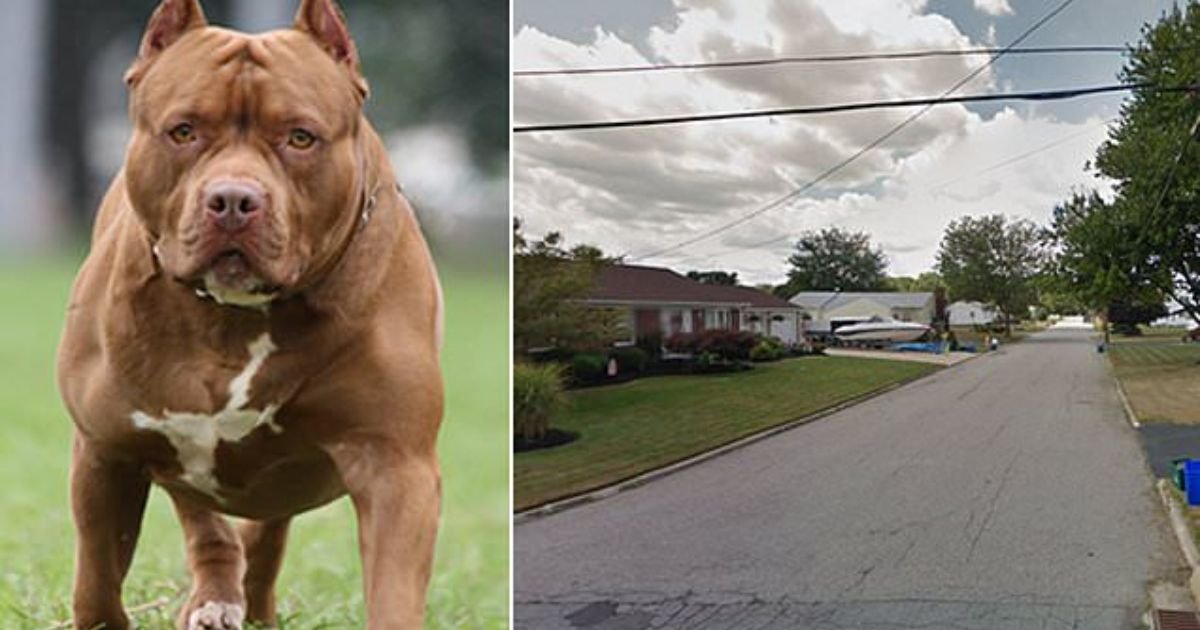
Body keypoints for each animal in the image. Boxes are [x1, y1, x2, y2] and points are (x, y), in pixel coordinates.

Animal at [54, 1, 444, 628]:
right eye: (183, 131)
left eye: (300, 137)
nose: (234, 200)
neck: (236, 316)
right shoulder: (105, 453)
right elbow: (97, 578)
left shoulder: (395, 465)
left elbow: (392, 592)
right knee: (207, 524)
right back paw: (217, 597)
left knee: (263, 531)